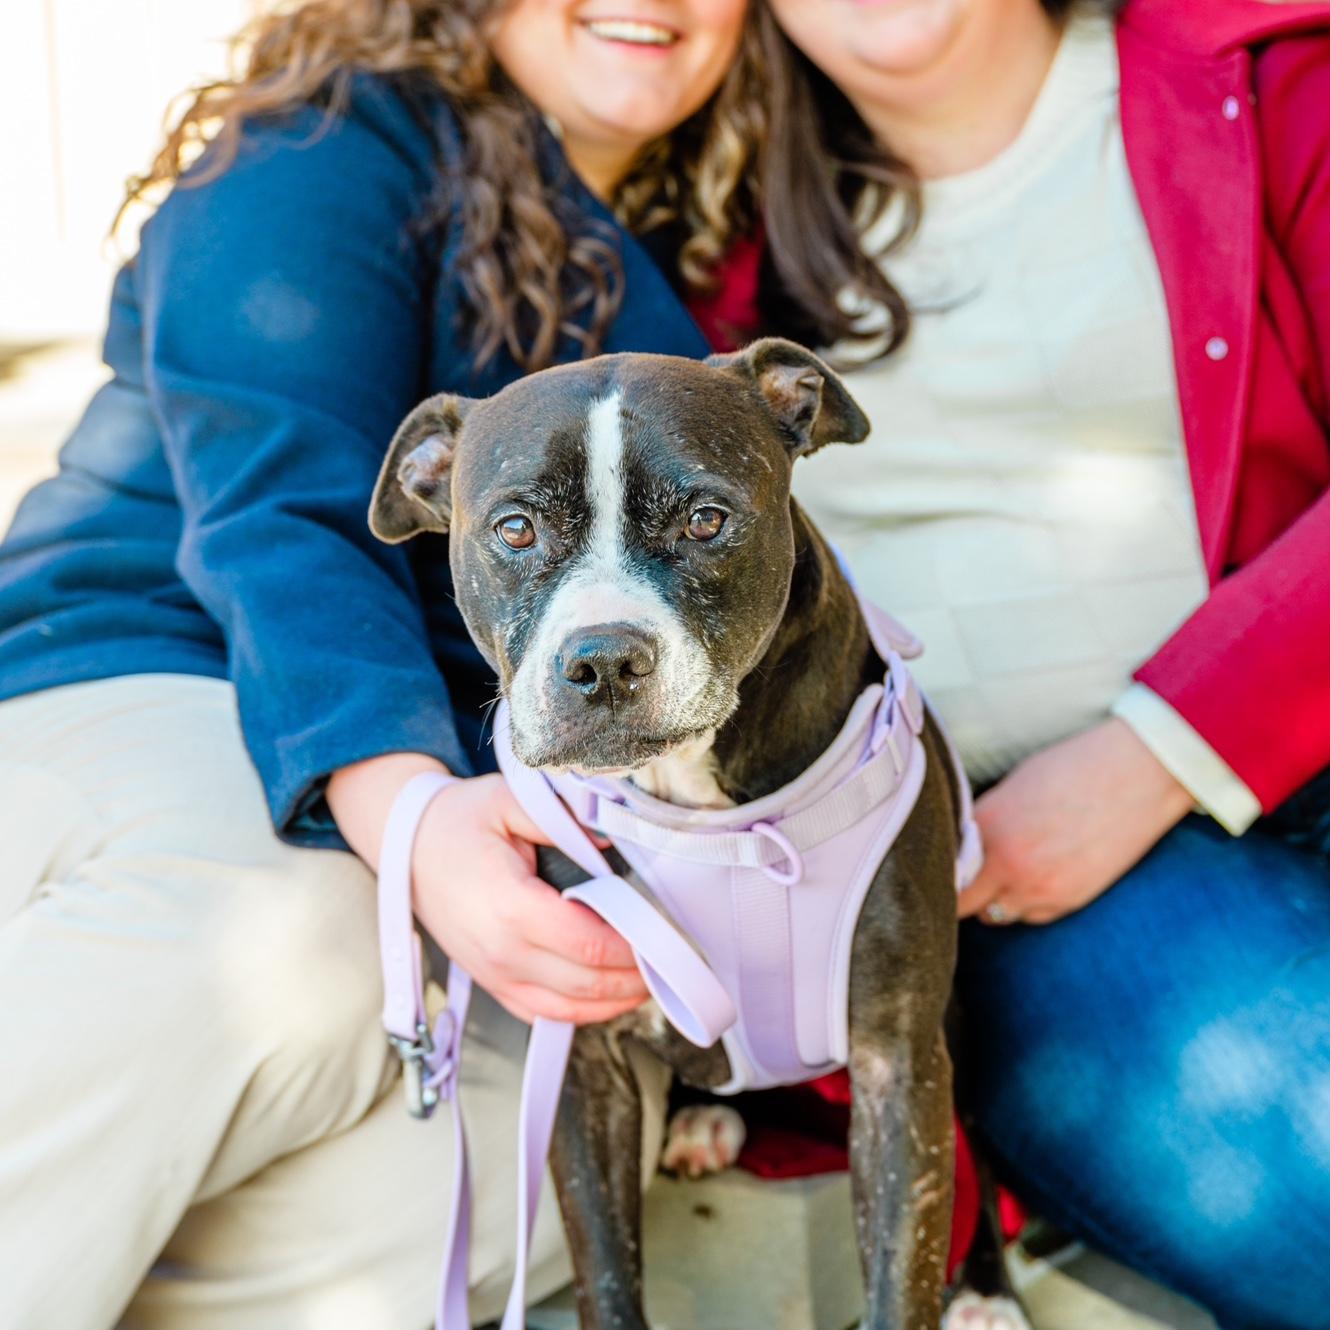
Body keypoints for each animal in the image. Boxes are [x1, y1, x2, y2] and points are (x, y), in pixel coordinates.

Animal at [375, 337, 1026, 1324]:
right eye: (516, 529)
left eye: (708, 519)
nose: (603, 659)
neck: (707, 811)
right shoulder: (581, 1067)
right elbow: (607, 1276)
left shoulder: (897, 1066)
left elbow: (900, 1273)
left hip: (956, 1029)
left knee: (978, 1151)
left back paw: (985, 1287)